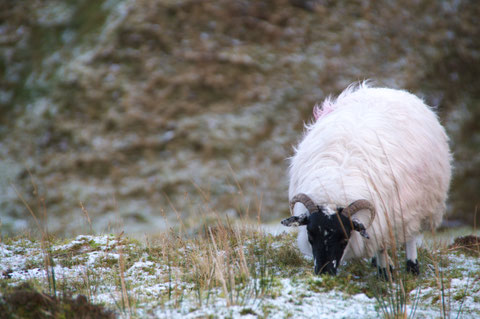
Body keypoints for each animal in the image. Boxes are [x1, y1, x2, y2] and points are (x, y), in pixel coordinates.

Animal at [280, 83, 452, 278]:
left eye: (344, 238)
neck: (336, 186)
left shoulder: (387, 216)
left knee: (410, 235)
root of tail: (387, 90)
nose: (324, 272)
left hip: (417, 204)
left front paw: (385, 273)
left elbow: (383, 246)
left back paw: (412, 267)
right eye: (310, 235)